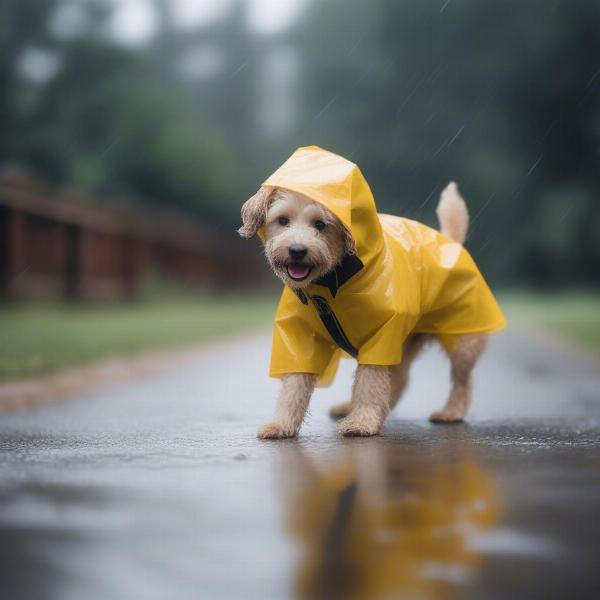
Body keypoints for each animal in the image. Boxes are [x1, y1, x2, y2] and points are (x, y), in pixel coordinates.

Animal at [237, 144, 504, 438]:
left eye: (320, 224)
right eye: (282, 220)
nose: (297, 250)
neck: (331, 285)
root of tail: (450, 242)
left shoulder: (381, 336)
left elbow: (370, 381)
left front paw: (362, 421)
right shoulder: (299, 338)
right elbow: (294, 384)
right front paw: (282, 423)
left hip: (463, 341)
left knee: (461, 380)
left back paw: (451, 412)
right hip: (407, 343)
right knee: (399, 380)